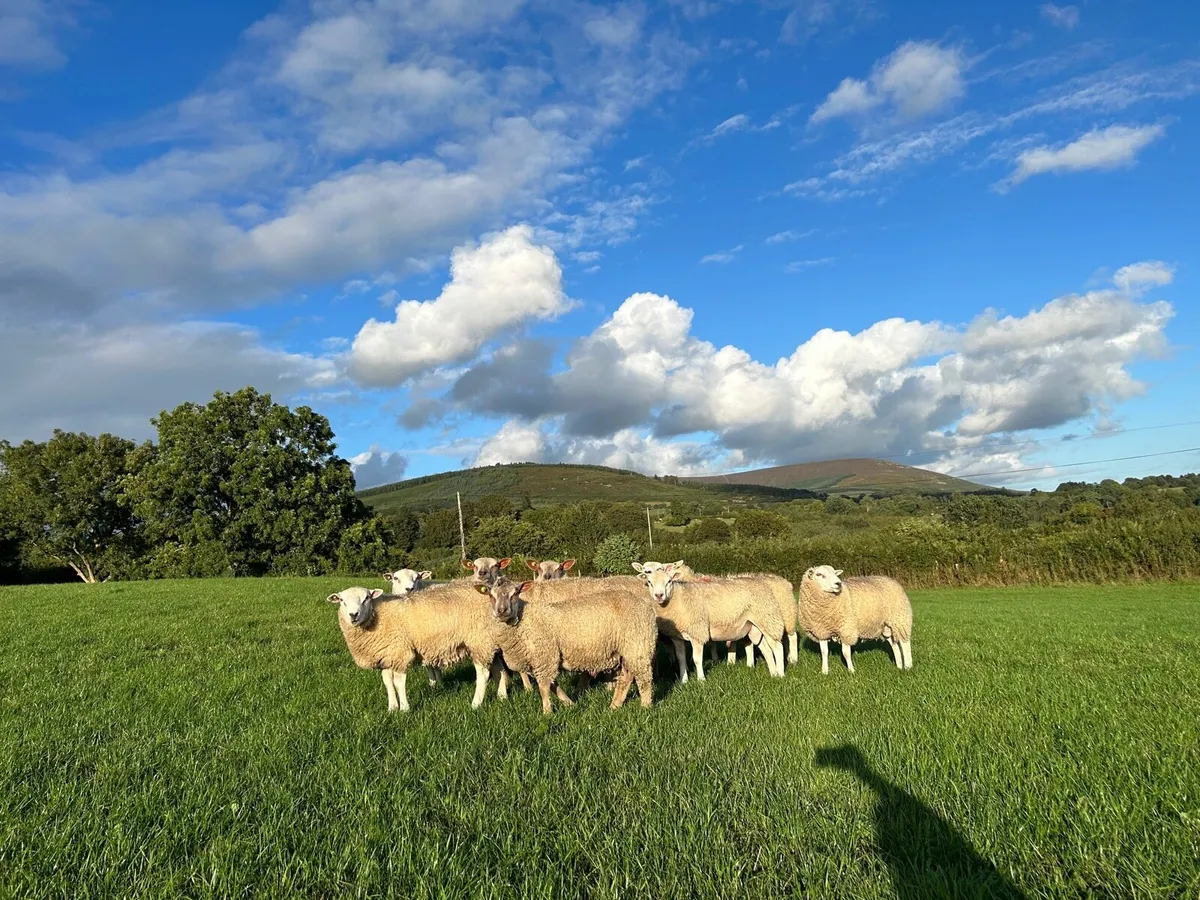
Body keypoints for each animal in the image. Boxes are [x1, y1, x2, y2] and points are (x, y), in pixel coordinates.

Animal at [326, 583, 517, 712]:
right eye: (341, 600)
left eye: (366, 598)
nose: (353, 615)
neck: (377, 616)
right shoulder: (387, 655)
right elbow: (388, 682)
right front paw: (392, 708)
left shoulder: (400, 653)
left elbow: (398, 682)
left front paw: (404, 709)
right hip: (491, 641)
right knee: (499, 668)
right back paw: (502, 697)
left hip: (479, 639)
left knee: (483, 673)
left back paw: (476, 704)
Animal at [476, 577, 657, 715]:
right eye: (491, 595)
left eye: (515, 593)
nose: (502, 611)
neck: (524, 620)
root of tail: (645, 605)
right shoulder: (539, 660)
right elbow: (553, 685)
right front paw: (570, 703)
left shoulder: (545, 656)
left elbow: (544, 687)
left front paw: (547, 712)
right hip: (627, 649)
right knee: (626, 677)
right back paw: (614, 706)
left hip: (638, 645)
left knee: (644, 679)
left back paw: (645, 706)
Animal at [635, 561, 797, 670]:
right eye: (648, 579)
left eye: (669, 580)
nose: (659, 595)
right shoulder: (678, 634)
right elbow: (682, 657)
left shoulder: (699, 630)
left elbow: (698, 657)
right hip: (756, 625)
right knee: (765, 646)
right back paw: (769, 669)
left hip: (776, 617)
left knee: (785, 640)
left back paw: (787, 666)